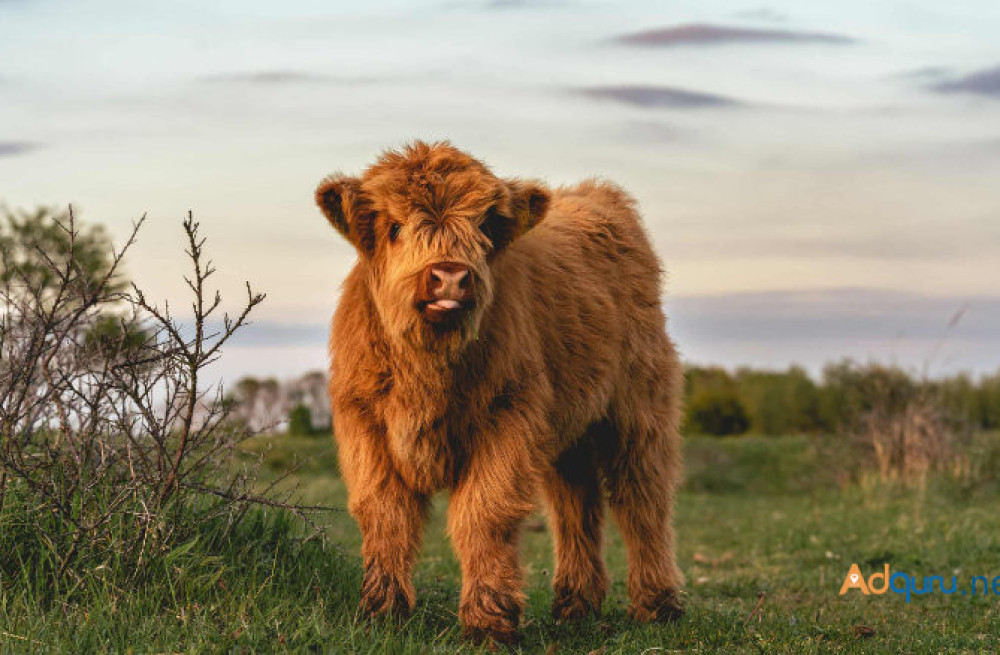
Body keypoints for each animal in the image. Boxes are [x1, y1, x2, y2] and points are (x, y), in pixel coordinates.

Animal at [316, 142, 684, 644]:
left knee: (642, 498)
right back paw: (577, 604)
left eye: (485, 226)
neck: (429, 370)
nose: (450, 276)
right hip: (570, 429)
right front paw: (381, 613)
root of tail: (596, 194)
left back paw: (657, 605)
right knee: (576, 503)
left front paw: (488, 622)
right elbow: (385, 515)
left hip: (637, 409)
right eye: (394, 227)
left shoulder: (508, 419)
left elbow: (484, 515)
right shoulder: (365, 425)